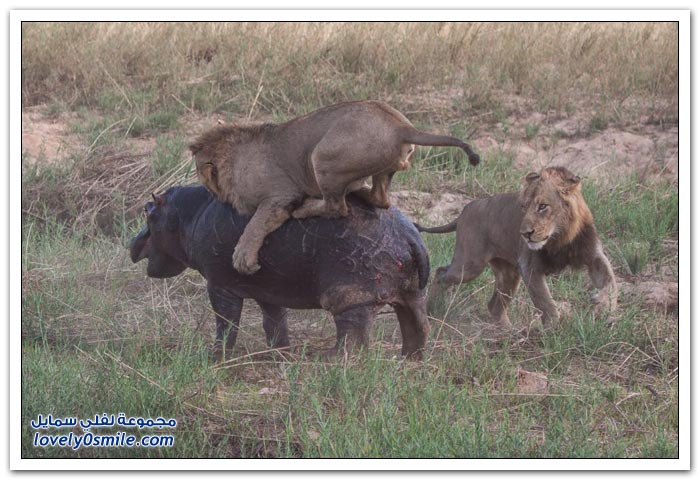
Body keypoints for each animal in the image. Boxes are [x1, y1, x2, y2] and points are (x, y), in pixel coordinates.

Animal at [189, 100, 480, 275]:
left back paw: (307, 208)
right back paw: (358, 189)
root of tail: (401, 127)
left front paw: (243, 258)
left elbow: (256, 224)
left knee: (336, 207)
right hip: (380, 170)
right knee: (380, 199)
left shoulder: (280, 196)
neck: (234, 157)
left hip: (323, 157)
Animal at [415, 166, 617, 327]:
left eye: (542, 206)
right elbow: (545, 302)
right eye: (523, 207)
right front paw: (552, 329)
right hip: (470, 264)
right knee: (441, 273)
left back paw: (508, 332)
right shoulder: (529, 267)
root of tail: (465, 209)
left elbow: (610, 281)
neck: (559, 237)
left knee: (495, 307)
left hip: (508, 273)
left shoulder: (593, 255)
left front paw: (603, 307)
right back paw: (431, 309)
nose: (525, 234)